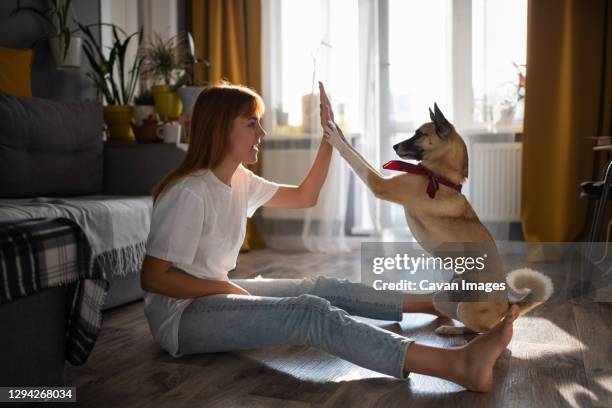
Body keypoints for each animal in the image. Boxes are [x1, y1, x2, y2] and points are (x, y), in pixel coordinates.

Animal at [320, 81, 556, 334]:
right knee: (455, 317)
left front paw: (334, 137)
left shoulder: (379, 184)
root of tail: (508, 305)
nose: (394, 145)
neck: (439, 176)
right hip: (443, 298)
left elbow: (354, 158)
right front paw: (338, 129)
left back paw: (461, 331)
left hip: (468, 309)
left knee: (483, 330)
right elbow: (357, 154)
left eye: (420, 134)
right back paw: (448, 328)